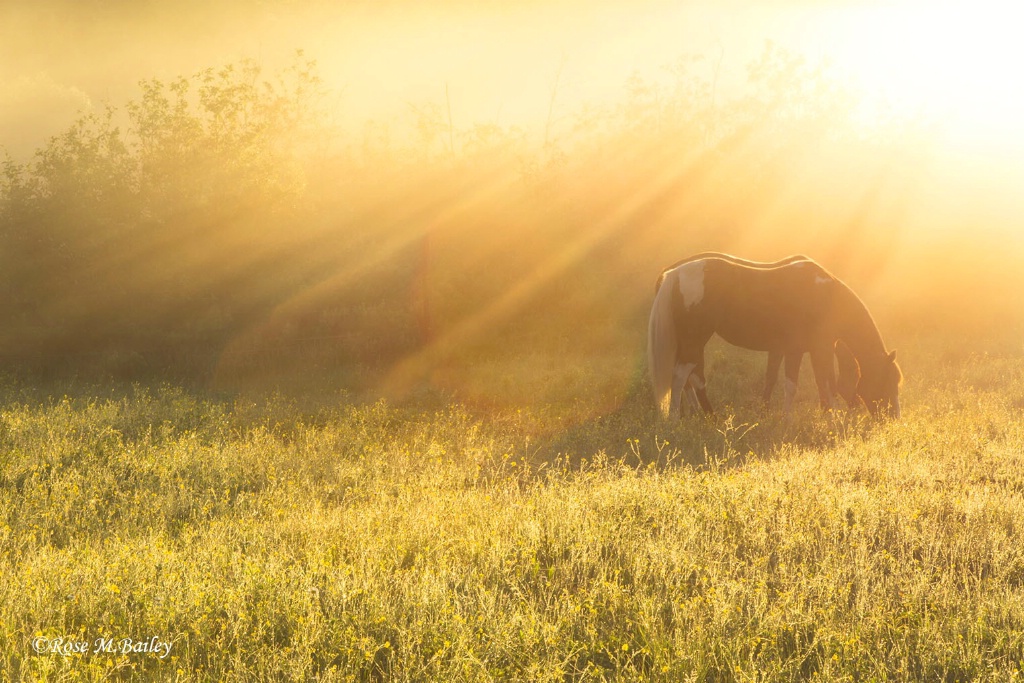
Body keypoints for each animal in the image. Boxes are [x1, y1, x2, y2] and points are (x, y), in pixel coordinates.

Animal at [651, 254, 901, 417]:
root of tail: (673, 274)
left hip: (691, 342)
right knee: (681, 376)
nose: (892, 419)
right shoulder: (811, 350)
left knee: (692, 377)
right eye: (888, 381)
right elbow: (815, 385)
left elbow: (810, 383)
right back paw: (676, 419)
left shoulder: (802, 350)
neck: (824, 296)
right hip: (695, 339)